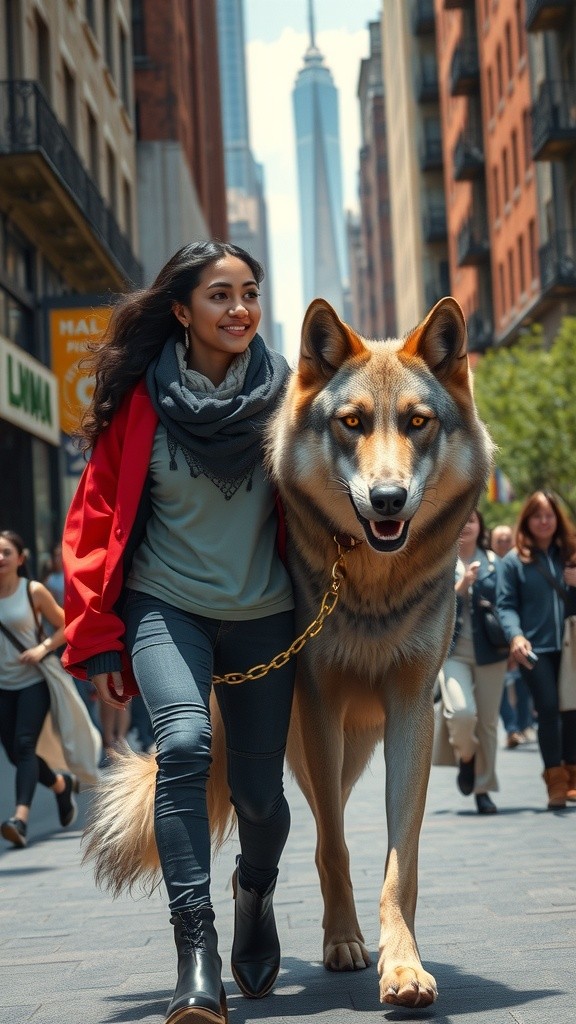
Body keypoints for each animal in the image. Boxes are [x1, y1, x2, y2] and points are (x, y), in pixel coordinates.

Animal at [83, 296, 492, 1009]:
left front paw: (404, 968)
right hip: (293, 741)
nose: (387, 500)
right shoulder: (318, 703)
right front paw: (345, 944)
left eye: (417, 422)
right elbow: (333, 845)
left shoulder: (413, 704)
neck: (370, 587)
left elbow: (400, 859)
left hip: (356, 745)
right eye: (352, 422)